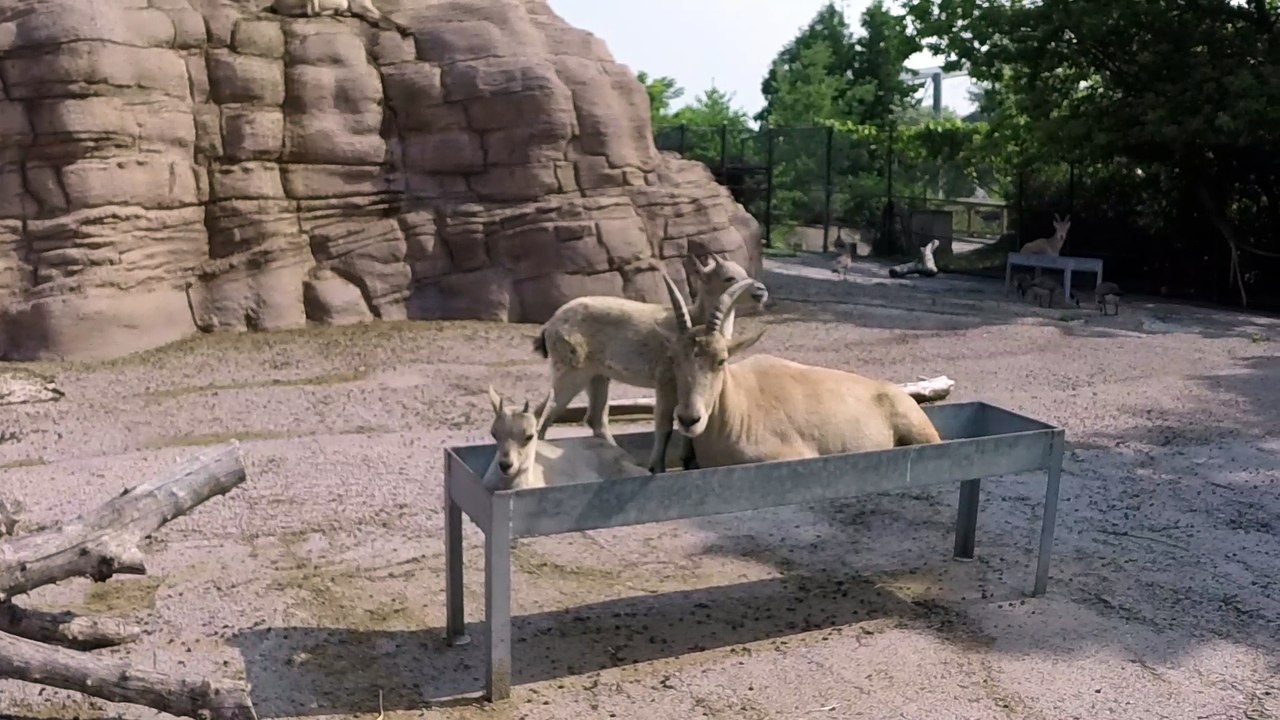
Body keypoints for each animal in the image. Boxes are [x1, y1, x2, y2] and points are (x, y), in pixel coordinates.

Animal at [532, 254, 768, 474]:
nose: (761, 291)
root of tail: (549, 327)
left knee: (592, 418)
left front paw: (689, 461)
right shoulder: (664, 380)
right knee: (547, 414)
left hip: (596, 375)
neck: (695, 318)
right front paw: (658, 467)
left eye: (744, 271)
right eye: (729, 277)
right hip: (571, 371)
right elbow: (664, 424)